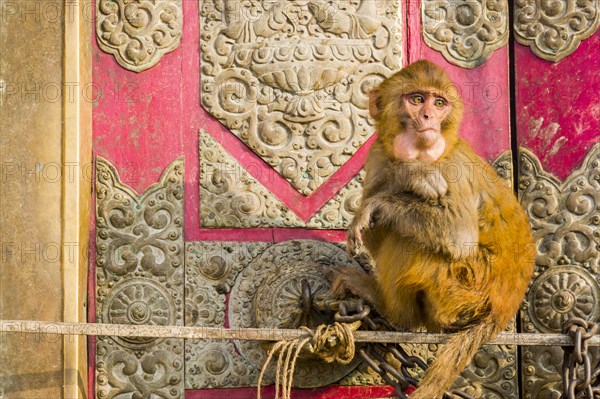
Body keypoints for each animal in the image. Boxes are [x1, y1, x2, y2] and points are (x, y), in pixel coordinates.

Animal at [332, 60, 536, 399]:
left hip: (465, 286)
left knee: (409, 239)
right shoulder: (377, 155)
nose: (428, 118)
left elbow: (459, 234)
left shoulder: (451, 170)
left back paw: (393, 311)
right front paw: (405, 175)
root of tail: (501, 311)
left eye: (439, 104)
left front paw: (407, 177)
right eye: (417, 100)